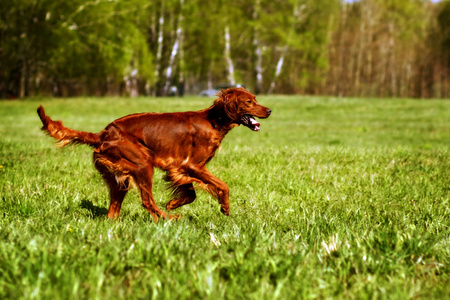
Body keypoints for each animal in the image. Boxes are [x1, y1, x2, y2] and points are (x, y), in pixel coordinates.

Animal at [37, 86, 270, 220]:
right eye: (249, 102)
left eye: (255, 98)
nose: (269, 110)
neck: (213, 121)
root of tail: (104, 133)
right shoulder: (192, 165)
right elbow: (223, 185)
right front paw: (225, 207)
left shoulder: (181, 168)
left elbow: (191, 192)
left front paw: (174, 203)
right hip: (143, 164)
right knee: (147, 201)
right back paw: (169, 218)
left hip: (119, 178)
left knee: (113, 212)